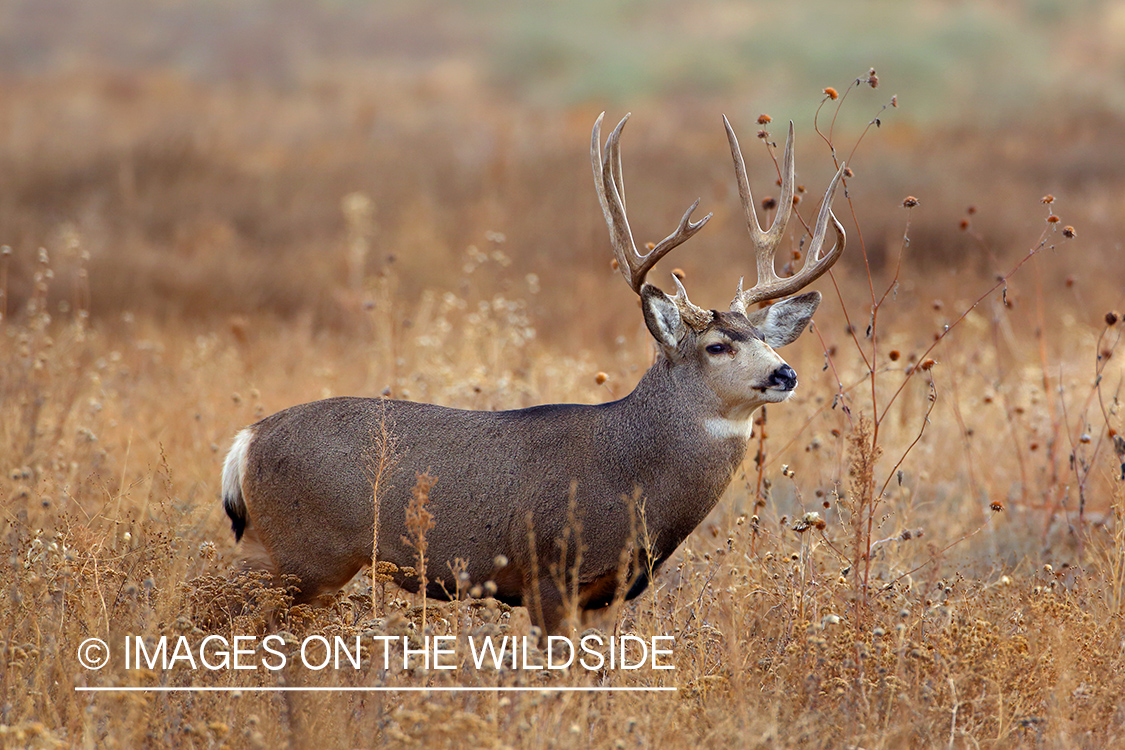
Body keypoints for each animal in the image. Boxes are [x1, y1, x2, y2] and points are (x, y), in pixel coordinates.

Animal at [221, 112, 845, 635]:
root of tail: (245, 441)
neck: (631, 473)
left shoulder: (606, 595)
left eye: (763, 338)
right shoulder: (548, 574)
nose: (785, 374)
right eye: (716, 346)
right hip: (303, 556)